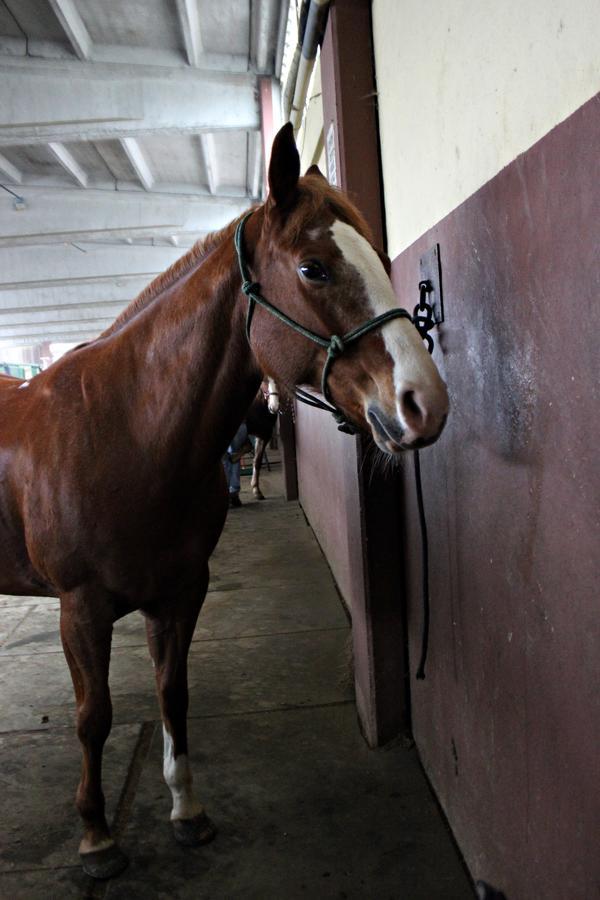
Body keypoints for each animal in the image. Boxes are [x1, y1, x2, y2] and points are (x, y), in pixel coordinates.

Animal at [0, 123, 448, 876]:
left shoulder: (181, 592)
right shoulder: (79, 609)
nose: (426, 403)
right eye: (313, 269)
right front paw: (96, 835)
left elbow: (173, 694)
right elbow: (94, 718)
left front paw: (186, 810)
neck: (123, 430)